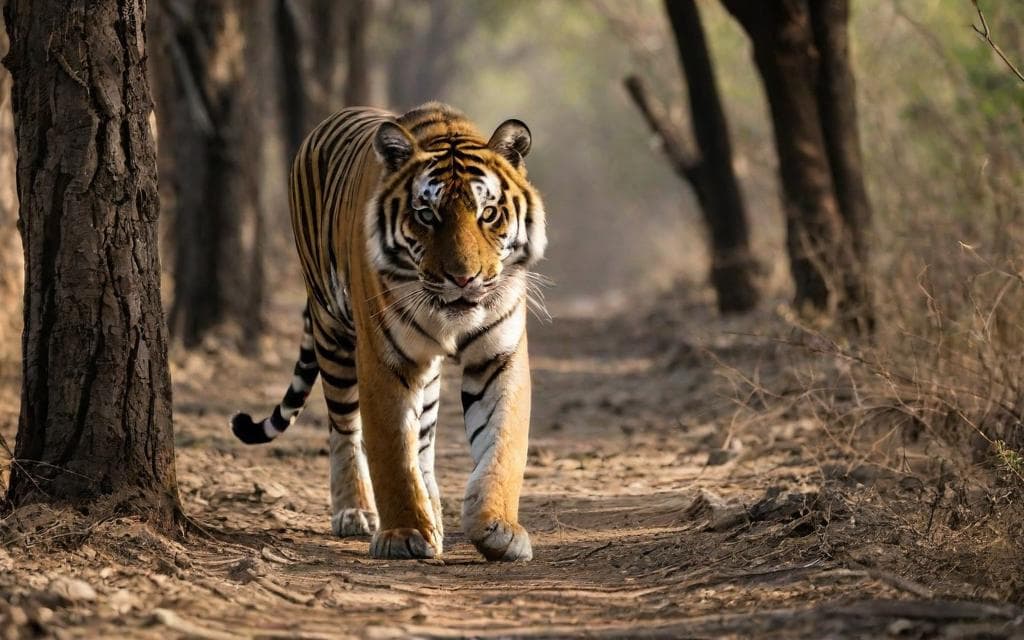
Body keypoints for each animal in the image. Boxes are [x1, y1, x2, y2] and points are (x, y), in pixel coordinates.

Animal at [230, 103, 546, 562]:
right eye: (427, 215)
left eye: (488, 213)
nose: (464, 279)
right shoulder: (384, 356)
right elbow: (391, 449)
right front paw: (404, 534)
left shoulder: (497, 356)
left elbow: (502, 445)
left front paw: (498, 528)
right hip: (332, 333)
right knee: (344, 428)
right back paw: (355, 512)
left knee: (424, 441)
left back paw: (434, 511)